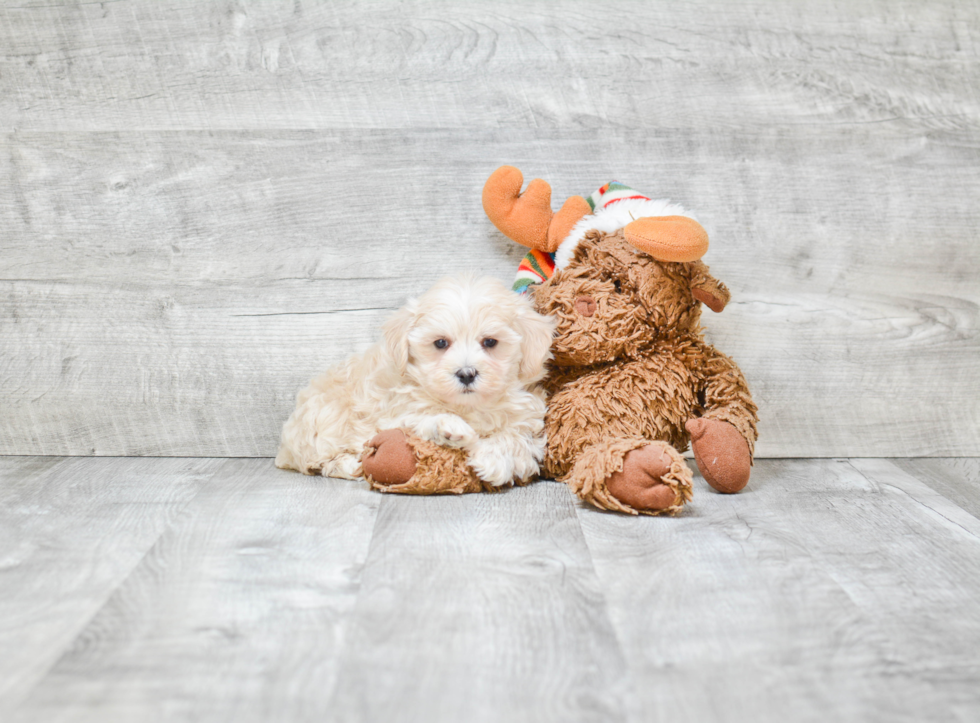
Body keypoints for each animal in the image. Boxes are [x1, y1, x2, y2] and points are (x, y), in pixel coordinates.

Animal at [276, 276, 556, 486]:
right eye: (440, 343)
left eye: (490, 342)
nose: (466, 373)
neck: (468, 406)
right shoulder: (394, 413)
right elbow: (421, 418)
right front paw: (449, 426)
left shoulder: (530, 419)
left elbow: (517, 437)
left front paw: (491, 459)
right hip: (324, 421)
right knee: (318, 462)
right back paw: (351, 464)